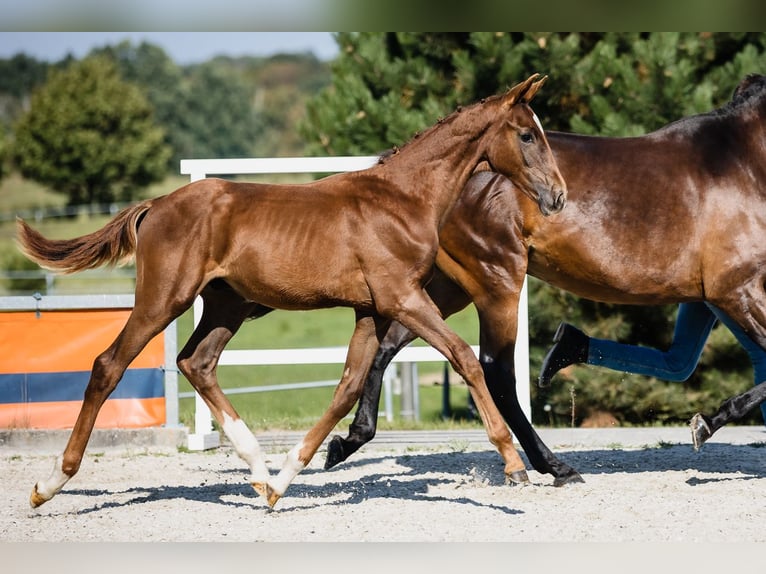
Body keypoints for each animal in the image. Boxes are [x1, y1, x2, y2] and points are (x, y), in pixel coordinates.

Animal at [16, 74, 568, 510]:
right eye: (526, 134)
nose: (558, 196)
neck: (403, 199)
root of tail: (156, 204)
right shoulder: (401, 298)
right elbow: (464, 357)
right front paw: (515, 464)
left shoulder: (370, 309)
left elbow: (347, 387)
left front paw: (286, 480)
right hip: (164, 299)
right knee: (108, 366)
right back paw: (49, 484)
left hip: (227, 304)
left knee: (197, 362)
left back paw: (260, 472)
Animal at [332, 73, 766, 486]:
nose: (557, 197)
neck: (744, 163)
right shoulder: (736, 291)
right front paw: (706, 424)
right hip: (496, 280)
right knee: (495, 370)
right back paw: (552, 466)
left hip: (446, 287)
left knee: (389, 345)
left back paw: (349, 439)